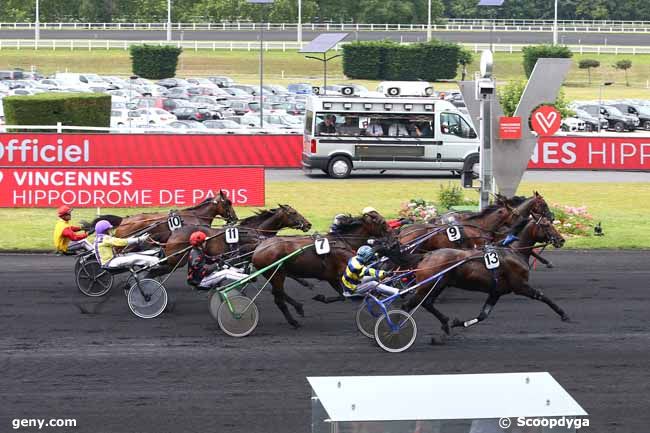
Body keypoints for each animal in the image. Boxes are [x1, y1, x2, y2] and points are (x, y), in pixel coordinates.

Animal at [251, 212, 388, 328]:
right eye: (383, 223)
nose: (391, 237)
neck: (342, 242)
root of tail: (258, 249)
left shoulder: (333, 278)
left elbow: (342, 296)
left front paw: (320, 297)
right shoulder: (338, 275)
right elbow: (345, 295)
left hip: (274, 275)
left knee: (277, 293)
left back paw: (298, 308)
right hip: (277, 275)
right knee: (278, 299)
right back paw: (294, 322)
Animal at [402, 214, 564, 340]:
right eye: (546, 225)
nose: (561, 240)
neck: (513, 251)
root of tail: (426, 256)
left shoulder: (496, 292)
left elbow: (482, 315)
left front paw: (457, 323)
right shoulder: (521, 286)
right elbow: (543, 297)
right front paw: (564, 315)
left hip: (437, 286)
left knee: (427, 303)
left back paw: (445, 324)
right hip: (428, 286)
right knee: (410, 305)